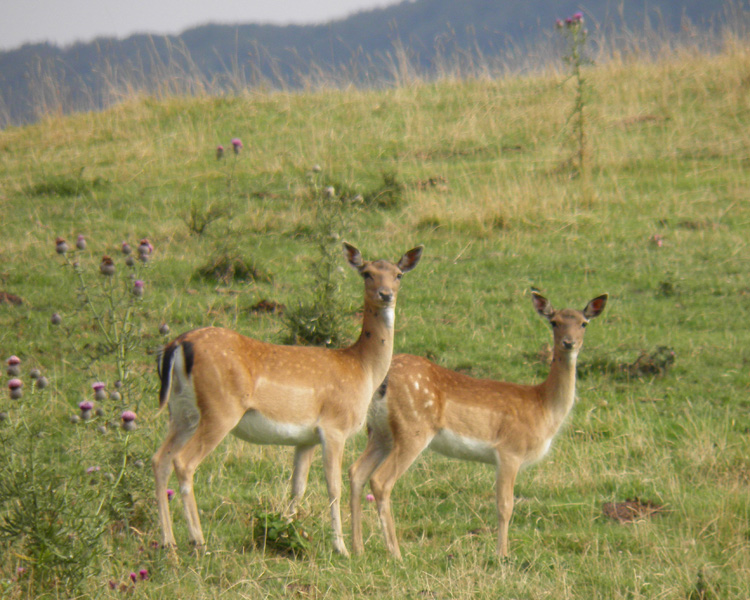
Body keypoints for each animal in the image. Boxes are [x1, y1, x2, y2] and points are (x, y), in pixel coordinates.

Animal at [153, 241, 424, 556]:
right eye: (367, 273)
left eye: (398, 274)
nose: (386, 294)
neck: (362, 369)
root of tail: (177, 345)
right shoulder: (334, 427)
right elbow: (333, 486)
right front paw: (341, 548)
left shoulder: (305, 438)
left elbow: (298, 487)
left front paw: (284, 535)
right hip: (219, 410)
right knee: (184, 462)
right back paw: (198, 541)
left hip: (181, 412)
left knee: (159, 459)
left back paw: (168, 542)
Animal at [350, 290, 608, 556]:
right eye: (554, 322)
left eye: (584, 323)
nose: (569, 343)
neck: (543, 407)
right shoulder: (510, 450)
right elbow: (505, 505)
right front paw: (502, 554)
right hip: (414, 427)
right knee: (381, 480)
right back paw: (396, 553)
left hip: (381, 433)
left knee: (356, 471)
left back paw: (357, 548)